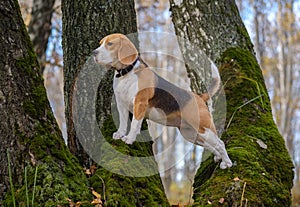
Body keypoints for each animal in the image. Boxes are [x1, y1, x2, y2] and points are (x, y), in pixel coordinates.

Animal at [92, 32, 233, 168]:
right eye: (100, 43)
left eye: (110, 44)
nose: (94, 53)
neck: (127, 73)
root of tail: (198, 96)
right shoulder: (121, 103)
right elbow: (122, 122)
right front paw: (120, 134)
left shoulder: (139, 103)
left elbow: (134, 124)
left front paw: (129, 139)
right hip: (191, 134)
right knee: (211, 146)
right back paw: (218, 157)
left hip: (203, 128)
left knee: (220, 143)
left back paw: (227, 163)